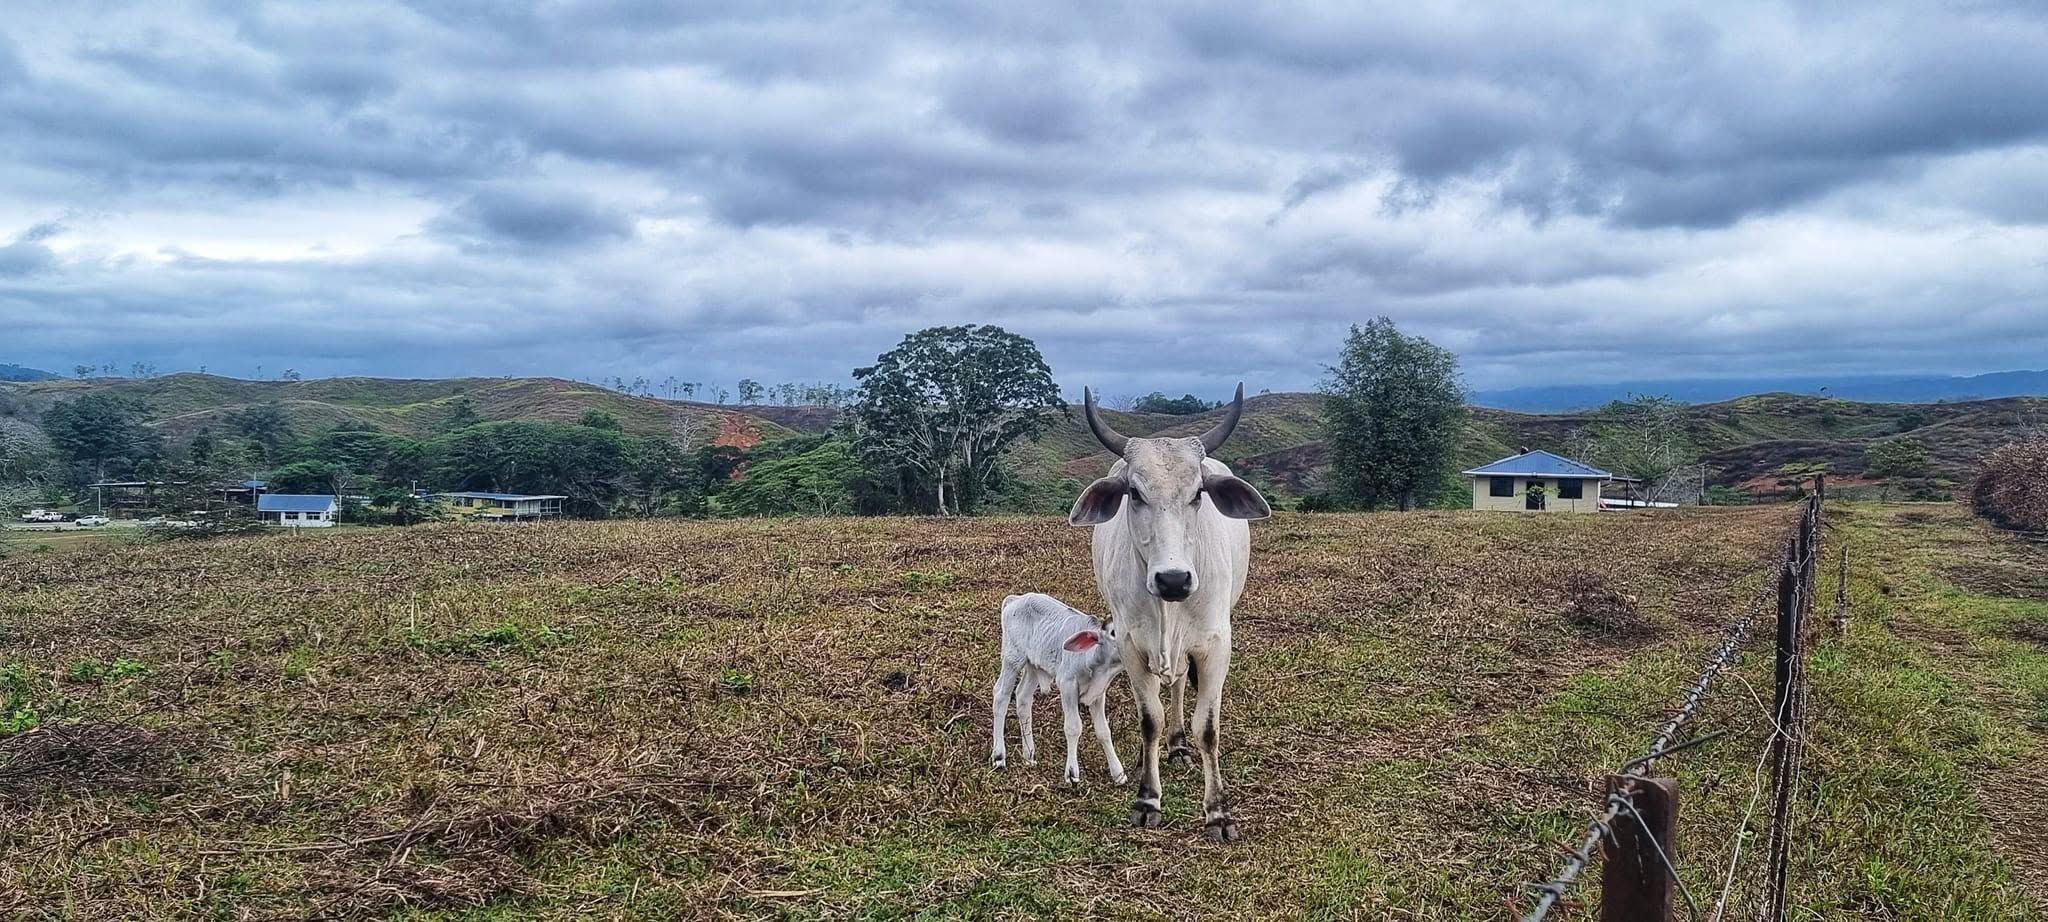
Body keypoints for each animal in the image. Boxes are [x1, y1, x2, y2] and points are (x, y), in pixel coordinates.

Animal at [1067, 384, 1270, 842]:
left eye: (1197, 493)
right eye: (1135, 493)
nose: (1173, 580)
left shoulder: (1216, 646)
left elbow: (1207, 729)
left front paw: (1218, 813)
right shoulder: (1129, 645)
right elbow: (1150, 720)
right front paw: (1147, 798)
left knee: (1178, 688)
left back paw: (1178, 746)